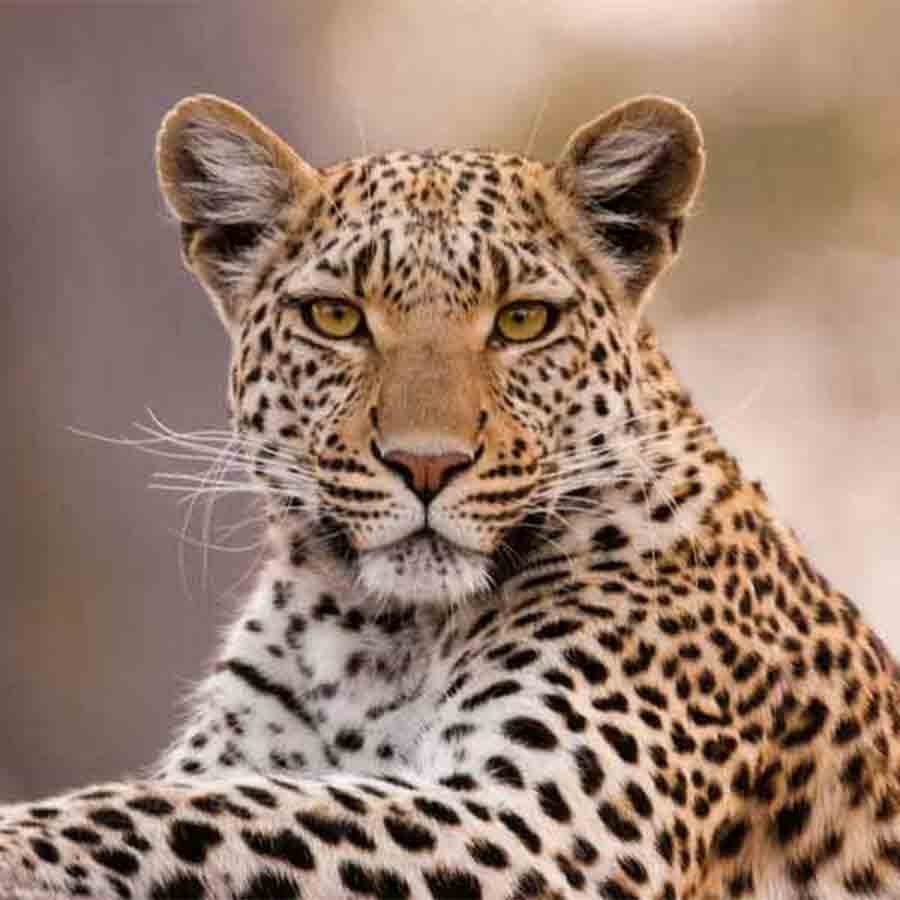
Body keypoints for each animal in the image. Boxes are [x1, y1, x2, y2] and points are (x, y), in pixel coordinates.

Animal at [1, 92, 898, 900]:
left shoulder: (545, 826)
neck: (373, 637)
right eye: (335, 318)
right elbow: (199, 799)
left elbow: (185, 814)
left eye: (524, 321)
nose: (426, 465)